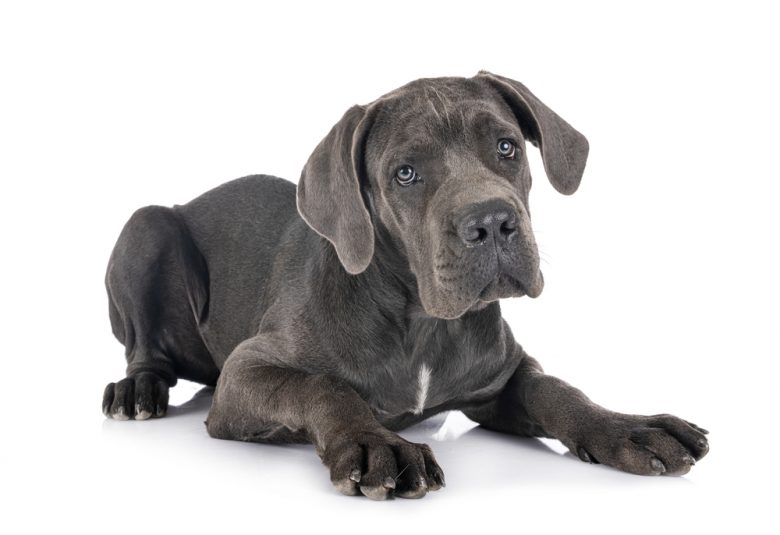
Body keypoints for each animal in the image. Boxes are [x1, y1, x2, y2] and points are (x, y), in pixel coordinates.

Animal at [102, 70, 708, 498]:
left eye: (506, 146)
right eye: (406, 174)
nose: (492, 221)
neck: (422, 323)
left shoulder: (503, 376)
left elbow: (558, 389)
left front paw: (627, 429)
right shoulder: (245, 374)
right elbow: (323, 386)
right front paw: (376, 444)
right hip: (145, 228)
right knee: (145, 349)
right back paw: (138, 390)